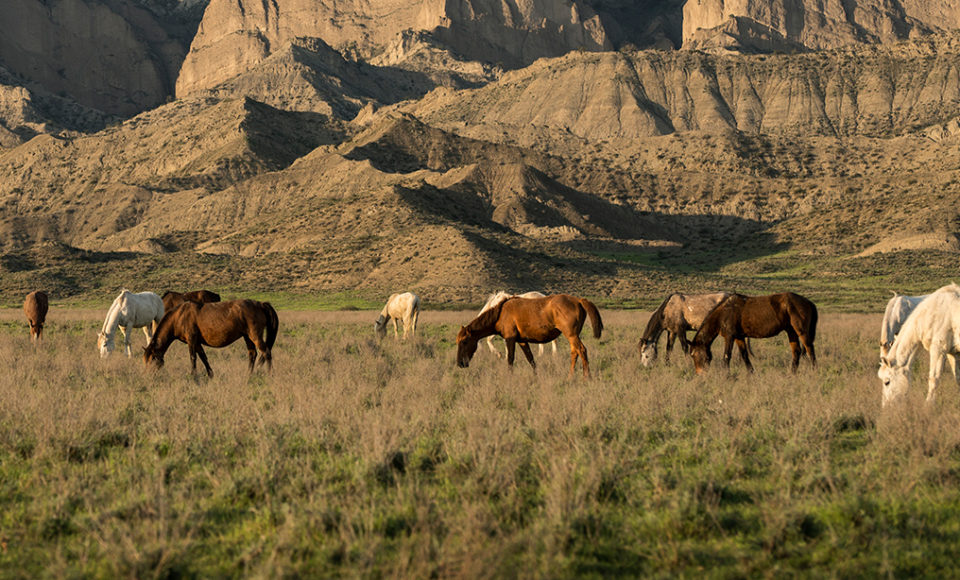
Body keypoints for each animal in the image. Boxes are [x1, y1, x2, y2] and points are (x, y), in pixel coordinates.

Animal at [142, 300, 280, 376]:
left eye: (152, 359)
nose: (148, 376)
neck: (179, 316)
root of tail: (260, 304)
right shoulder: (197, 343)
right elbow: (203, 358)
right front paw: (210, 374)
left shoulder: (191, 341)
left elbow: (193, 358)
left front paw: (193, 375)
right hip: (247, 337)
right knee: (252, 354)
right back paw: (249, 375)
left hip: (255, 335)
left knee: (266, 352)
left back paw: (270, 374)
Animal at [456, 292, 604, 378]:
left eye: (464, 341)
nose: (460, 363)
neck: (500, 313)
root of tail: (578, 300)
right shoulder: (522, 341)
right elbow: (530, 359)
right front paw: (535, 376)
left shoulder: (510, 339)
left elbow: (510, 359)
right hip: (572, 336)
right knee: (575, 352)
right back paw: (570, 376)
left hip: (571, 335)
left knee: (581, 350)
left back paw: (586, 377)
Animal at [688, 292, 816, 374]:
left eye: (693, 355)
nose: (700, 374)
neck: (723, 313)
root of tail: (808, 301)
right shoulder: (739, 337)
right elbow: (744, 355)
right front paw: (751, 373)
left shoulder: (729, 337)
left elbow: (726, 356)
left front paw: (727, 376)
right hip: (791, 332)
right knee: (797, 351)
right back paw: (792, 373)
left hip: (801, 331)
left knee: (809, 349)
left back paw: (814, 370)